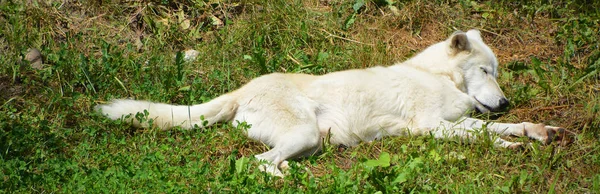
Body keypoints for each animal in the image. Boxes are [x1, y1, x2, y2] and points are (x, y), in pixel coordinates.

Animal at [96, 29, 564, 177]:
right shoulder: (432, 127)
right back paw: (289, 181)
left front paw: (537, 132)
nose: (505, 100)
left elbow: (495, 129)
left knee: (266, 161)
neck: (438, 76)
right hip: (306, 134)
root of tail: (243, 88)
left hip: (312, 141)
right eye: (485, 71)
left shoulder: (455, 122)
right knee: (256, 164)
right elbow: (484, 135)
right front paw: (510, 143)